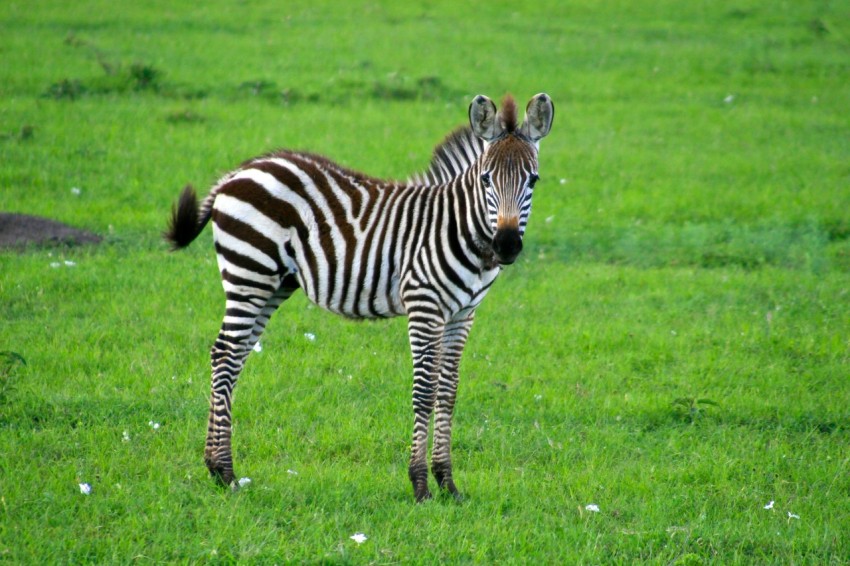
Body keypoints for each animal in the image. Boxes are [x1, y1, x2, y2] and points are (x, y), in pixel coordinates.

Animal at [166, 94, 552, 506]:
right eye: (485, 179)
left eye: (533, 180)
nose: (507, 246)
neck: (459, 229)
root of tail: (241, 170)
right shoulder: (424, 305)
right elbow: (424, 390)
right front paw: (420, 485)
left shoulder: (463, 313)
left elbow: (448, 391)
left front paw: (448, 483)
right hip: (249, 275)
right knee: (224, 355)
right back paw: (225, 471)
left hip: (273, 284)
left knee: (233, 356)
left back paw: (215, 467)